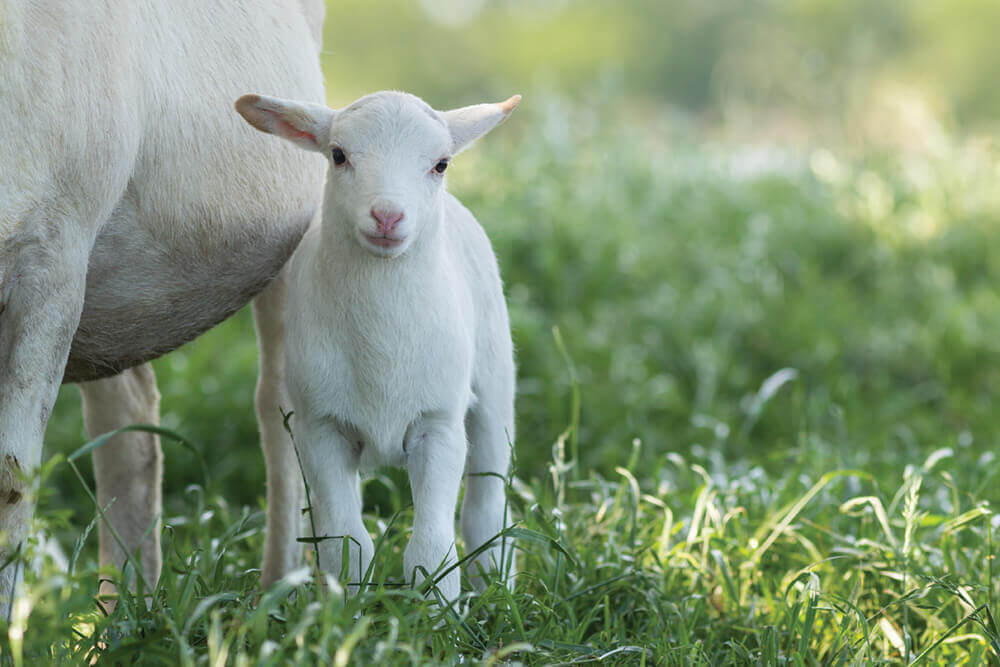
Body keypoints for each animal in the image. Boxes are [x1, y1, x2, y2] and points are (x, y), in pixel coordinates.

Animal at [232, 90, 516, 600]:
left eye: (441, 164)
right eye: (338, 155)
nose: (387, 216)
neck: (382, 344)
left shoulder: (439, 424)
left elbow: (432, 548)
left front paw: (438, 612)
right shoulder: (320, 427)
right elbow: (346, 542)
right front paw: (343, 608)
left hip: (494, 384)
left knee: (487, 506)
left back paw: (495, 587)